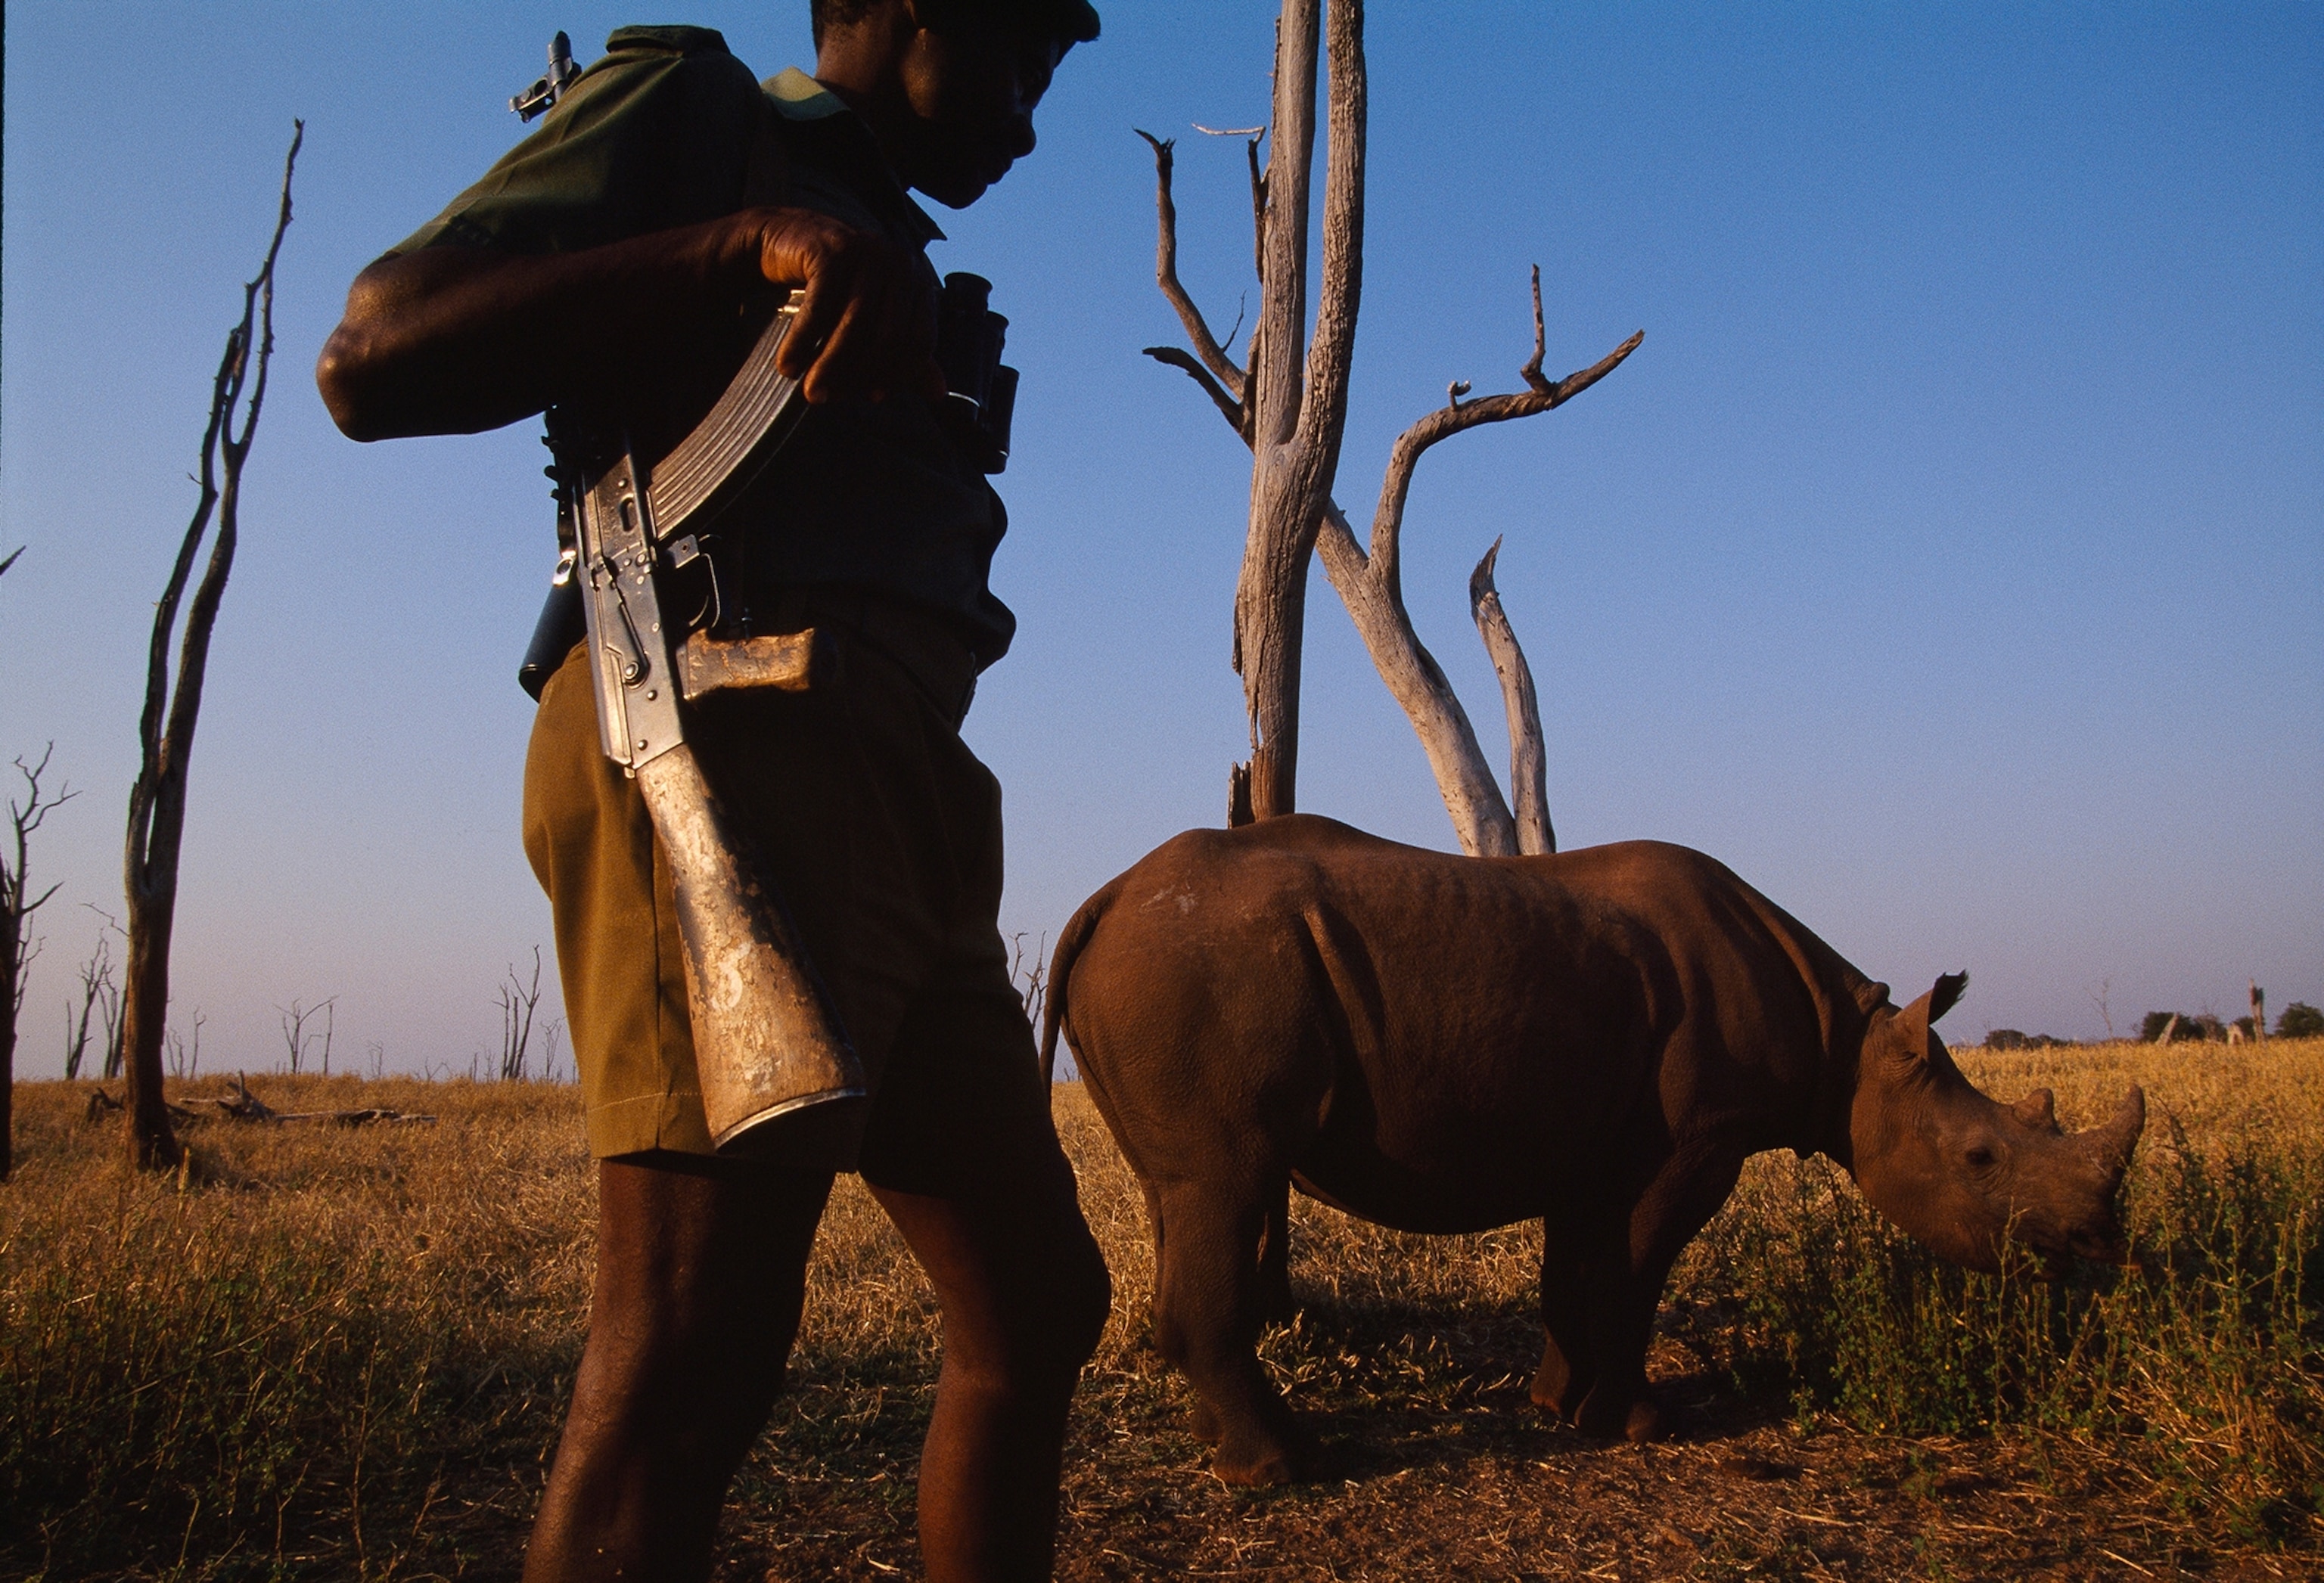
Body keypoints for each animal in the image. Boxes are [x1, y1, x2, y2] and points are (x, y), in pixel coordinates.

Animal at [1041, 816, 2145, 1485]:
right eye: (1981, 1159)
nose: (2099, 1246)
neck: (1853, 1045)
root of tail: (1103, 901)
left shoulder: (1596, 1136)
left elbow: (1580, 1270)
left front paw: (1558, 1404)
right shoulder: (1694, 1140)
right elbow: (1636, 1271)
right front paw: (1640, 1424)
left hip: (1167, 977)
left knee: (1181, 1191)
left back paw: (1227, 1446)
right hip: (1192, 973)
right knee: (1224, 1182)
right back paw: (1291, 1467)